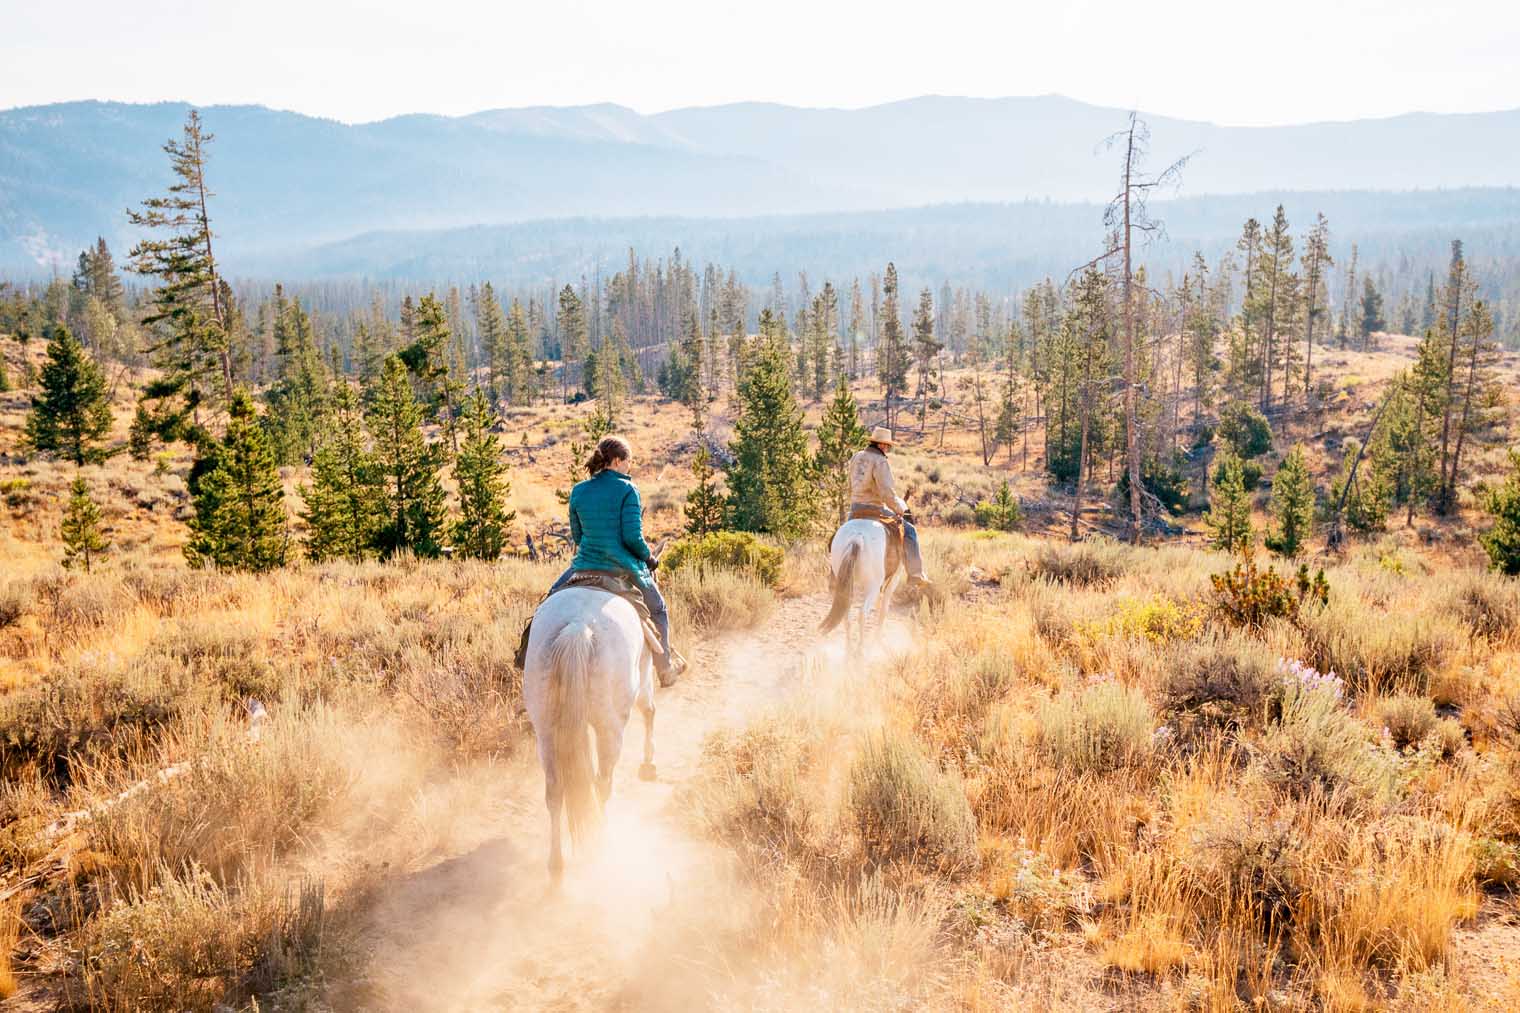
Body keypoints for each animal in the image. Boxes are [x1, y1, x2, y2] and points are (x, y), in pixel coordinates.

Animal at [522, 587, 653, 882]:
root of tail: (578, 626)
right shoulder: (645, 669)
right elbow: (649, 709)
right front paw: (649, 763)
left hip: (545, 731)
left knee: (555, 792)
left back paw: (556, 863)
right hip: (609, 727)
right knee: (602, 783)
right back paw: (602, 846)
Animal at [820, 517, 899, 650]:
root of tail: (857, 536)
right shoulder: (893, 580)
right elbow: (883, 609)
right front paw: (878, 640)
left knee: (846, 615)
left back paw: (849, 650)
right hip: (873, 587)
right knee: (862, 614)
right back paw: (860, 650)